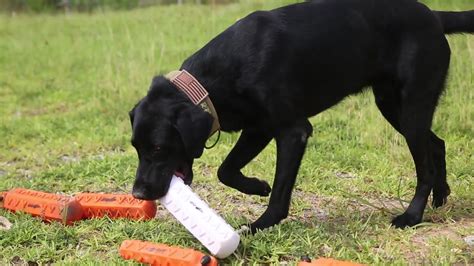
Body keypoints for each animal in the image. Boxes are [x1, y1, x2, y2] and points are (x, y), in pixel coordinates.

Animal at [130, 0, 474, 233]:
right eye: (136, 148)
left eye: (158, 148)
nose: (137, 194)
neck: (213, 82)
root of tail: (433, 15)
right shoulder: (258, 128)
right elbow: (225, 170)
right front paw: (257, 186)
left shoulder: (292, 131)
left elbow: (279, 192)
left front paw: (260, 224)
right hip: (393, 106)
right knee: (436, 144)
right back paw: (440, 198)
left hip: (412, 107)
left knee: (425, 165)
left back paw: (412, 216)